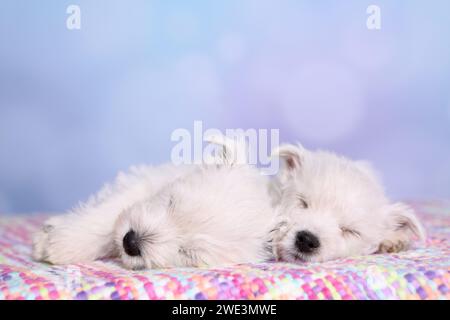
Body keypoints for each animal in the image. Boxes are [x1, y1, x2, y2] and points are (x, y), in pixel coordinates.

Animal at [31, 138, 276, 270]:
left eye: (188, 253)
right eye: (171, 202)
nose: (130, 242)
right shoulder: (146, 183)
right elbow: (107, 214)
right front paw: (60, 243)